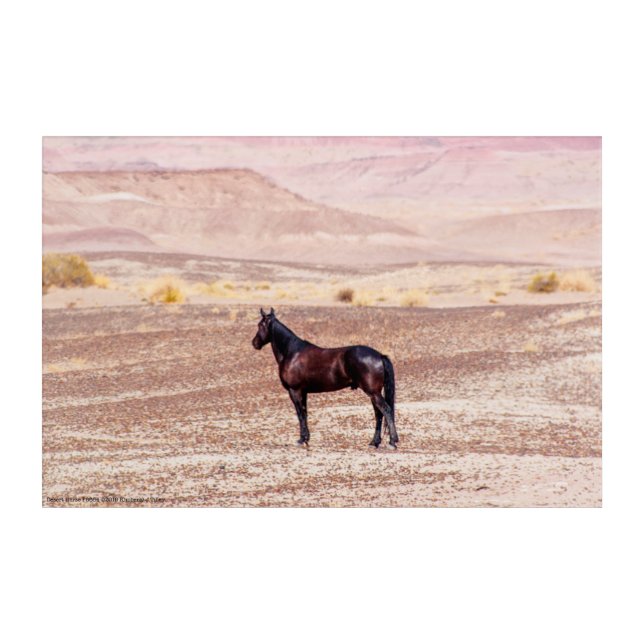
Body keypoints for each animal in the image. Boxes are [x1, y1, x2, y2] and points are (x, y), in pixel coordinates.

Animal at [252, 307, 399, 448]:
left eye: (260, 325)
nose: (254, 343)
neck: (292, 353)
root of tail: (379, 356)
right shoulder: (303, 392)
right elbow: (305, 413)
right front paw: (306, 439)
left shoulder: (294, 391)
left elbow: (300, 414)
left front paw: (301, 440)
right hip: (374, 393)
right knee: (379, 414)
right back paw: (374, 442)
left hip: (373, 393)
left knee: (386, 410)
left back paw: (392, 442)